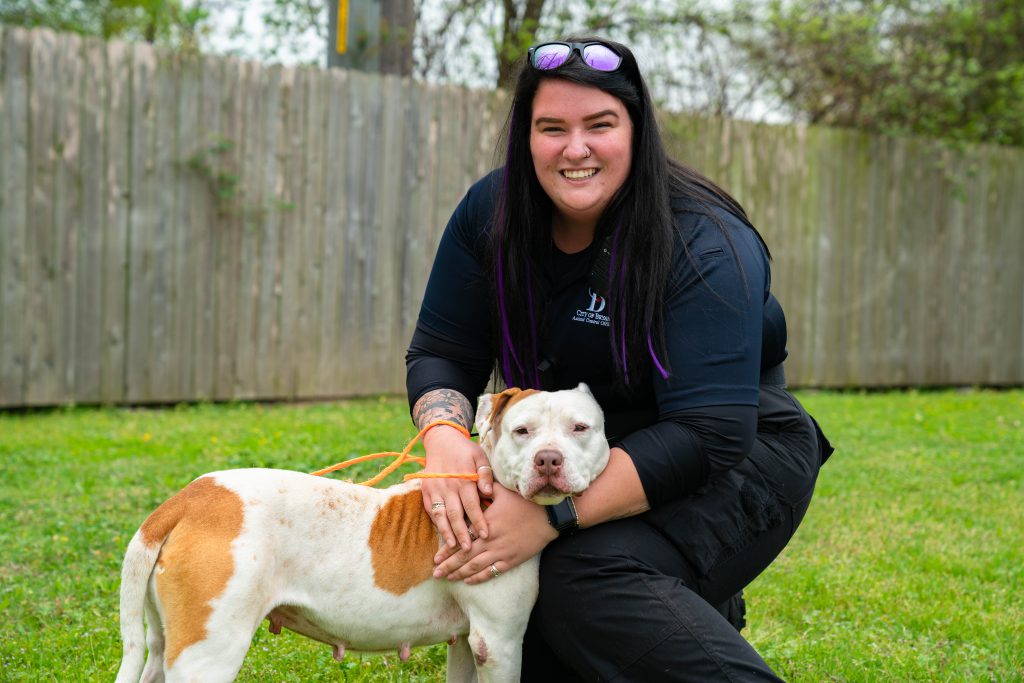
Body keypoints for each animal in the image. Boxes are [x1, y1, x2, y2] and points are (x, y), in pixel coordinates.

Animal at [114, 385, 606, 683]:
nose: (548, 459)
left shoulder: (469, 644)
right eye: (523, 430)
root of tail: (186, 501)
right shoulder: (498, 642)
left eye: (580, 428)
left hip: (166, 641)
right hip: (210, 650)